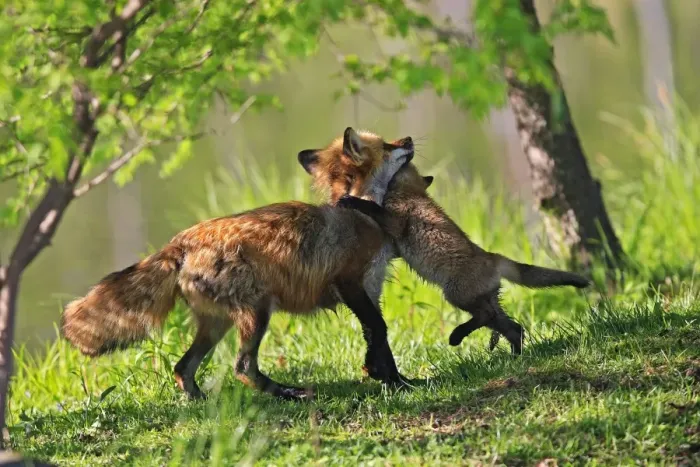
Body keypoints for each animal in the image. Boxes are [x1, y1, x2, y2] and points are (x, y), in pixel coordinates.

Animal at [61, 127, 414, 401]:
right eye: (387, 146)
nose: (409, 139)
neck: (360, 213)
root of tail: (182, 241)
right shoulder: (350, 282)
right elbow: (380, 330)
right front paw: (395, 383)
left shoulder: (370, 289)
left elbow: (377, 339)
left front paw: (393, 378)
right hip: (256, 314)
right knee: (243, 368)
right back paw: (288, 393)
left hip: (217, 324)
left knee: (182, 368)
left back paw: (202, 403)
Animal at [309, 161, 590, 355]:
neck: (412, 193)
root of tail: (493, 257)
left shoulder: (398, 221)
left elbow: (374, 210)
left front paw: (352, 201)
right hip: (484, 298)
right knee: (513, 327)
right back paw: (514, 353)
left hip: (456, 294)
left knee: (487, 317)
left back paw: (457, 336)